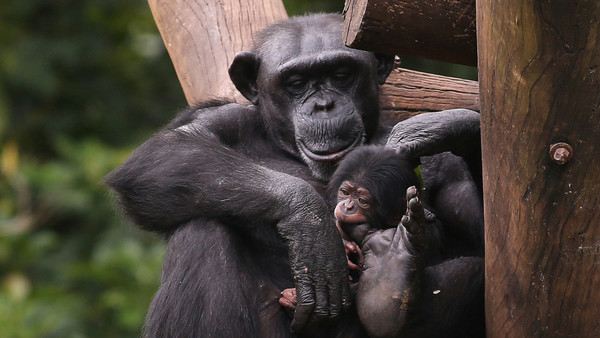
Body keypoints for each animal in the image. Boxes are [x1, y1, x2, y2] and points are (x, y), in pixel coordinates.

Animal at [105, 13, 482, 338]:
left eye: (341, 74)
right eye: (297, 83)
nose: (323, 105)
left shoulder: (446, 166)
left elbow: (481, 230)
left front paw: (452, 125)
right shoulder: (220, 118)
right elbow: (162, 153)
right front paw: (310, 225)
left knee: (473, 271)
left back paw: (389, 285)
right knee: (201, 231)